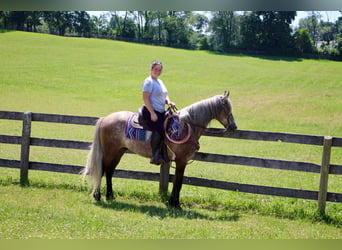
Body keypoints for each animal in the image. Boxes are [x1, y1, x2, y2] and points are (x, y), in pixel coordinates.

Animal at [83, 91, 238, 208]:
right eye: (227, 109)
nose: (234, 127)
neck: (186, 126)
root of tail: (104, 119)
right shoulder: (181, 160)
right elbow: (178, 183)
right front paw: (175, 204)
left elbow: (177, 182)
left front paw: (173, 202)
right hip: (110, 151)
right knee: (102, 170)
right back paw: (98, 195)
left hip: (119, 151)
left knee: (109, 171)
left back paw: (110, 196)